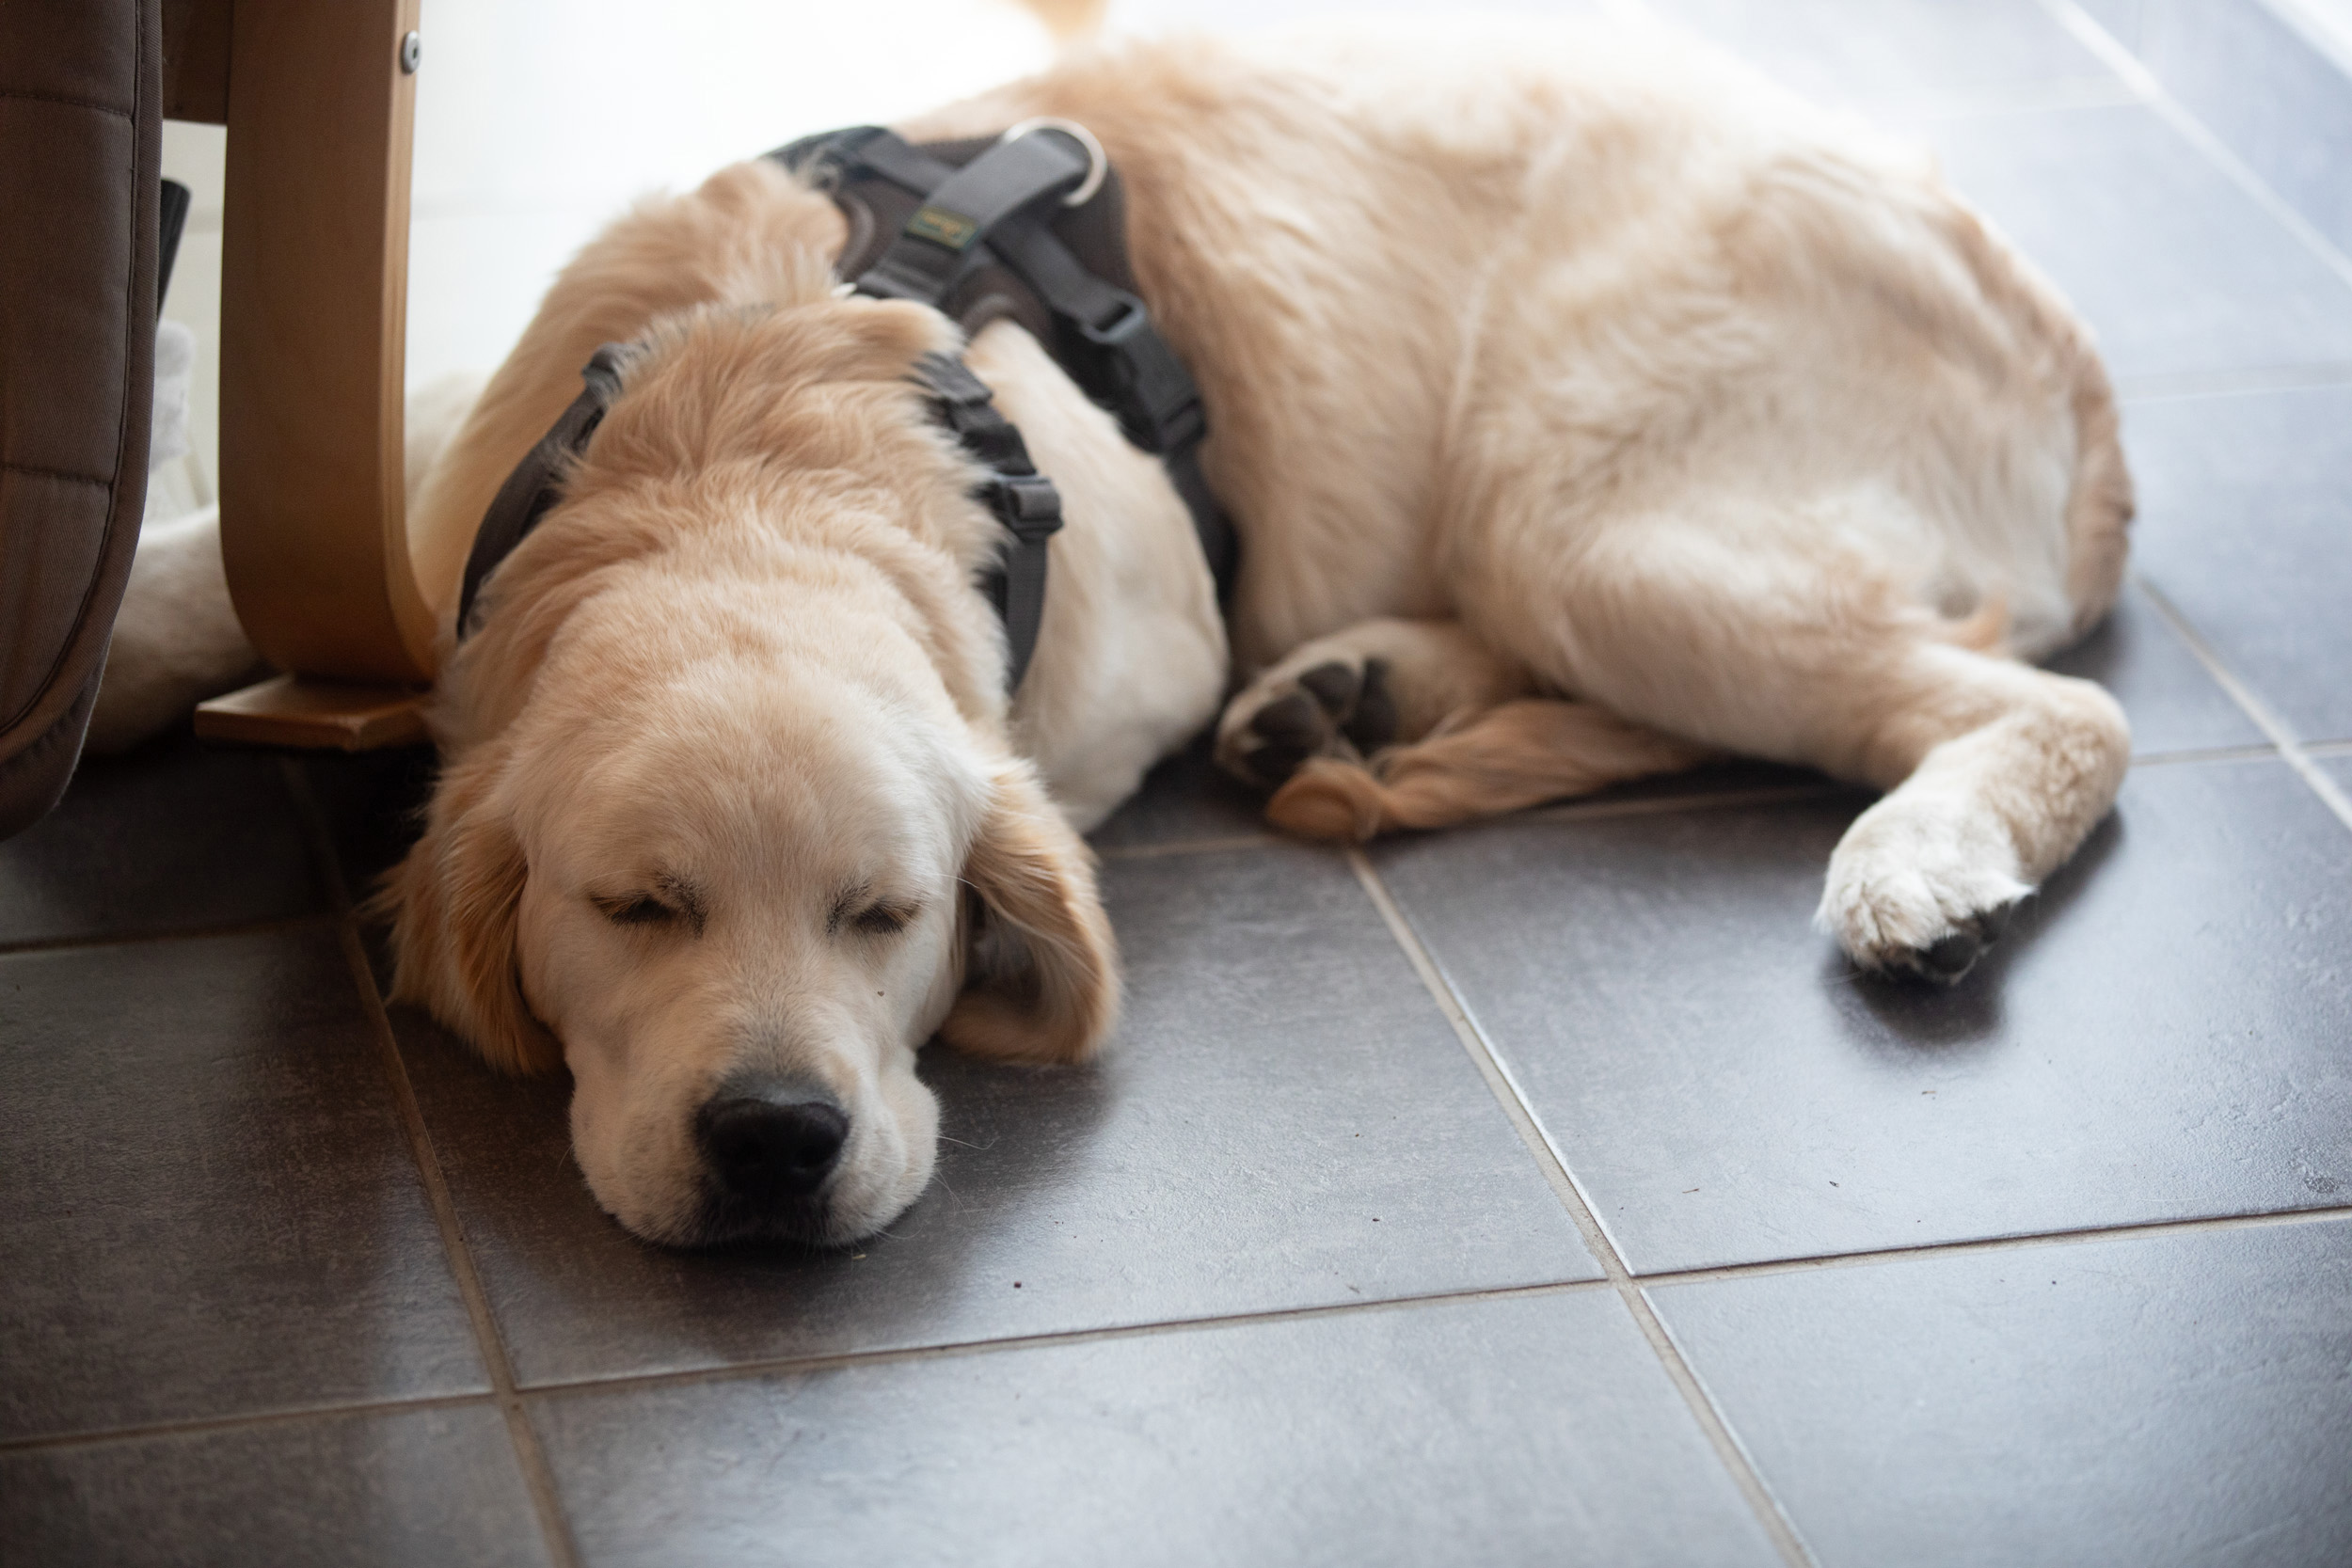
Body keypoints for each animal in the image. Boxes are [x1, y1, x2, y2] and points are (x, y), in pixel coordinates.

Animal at [368, 18, 2132, 1248]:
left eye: (887, 915)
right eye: (635, 907)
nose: (775, 1136)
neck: (735, 440)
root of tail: (2073, 354)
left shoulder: (1139, 655)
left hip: (1582, 519)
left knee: (2062, 712)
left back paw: (1917, 867)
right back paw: (1353, 694)